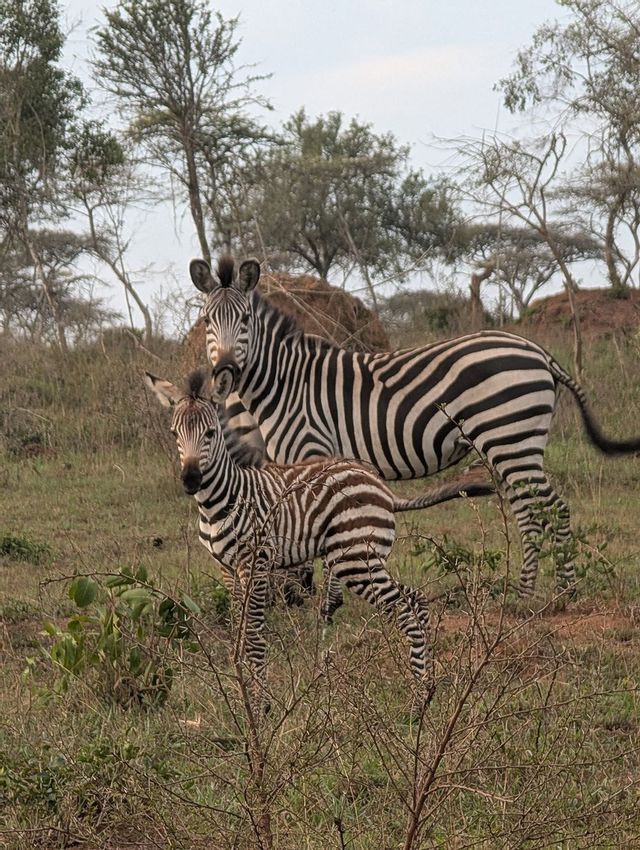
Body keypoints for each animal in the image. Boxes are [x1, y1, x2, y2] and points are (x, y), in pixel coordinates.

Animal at [145, 368, 494, 702]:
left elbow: (255, 637)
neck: (224, 499)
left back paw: (420, 698)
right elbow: (239, 634)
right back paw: (428, 684)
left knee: (407, 609)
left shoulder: (255, 564)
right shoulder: (227, 568)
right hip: (361, 560)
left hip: (356, 561)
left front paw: (260, 706)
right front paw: (243, 689)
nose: (191, 480)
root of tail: (381, 487)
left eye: (210, 433)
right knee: (416, 601)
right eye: (175, 433)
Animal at [189, 254, 640, 598]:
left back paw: (557, 593)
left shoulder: (310, 451)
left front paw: (317, 600)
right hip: (509, 444)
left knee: (550, 508)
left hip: (511, 439)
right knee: (530, 511)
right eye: (209, 321)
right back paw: (532, 592)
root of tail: (536, 350)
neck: (286, 382)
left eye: (245, 320)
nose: (224, 372)